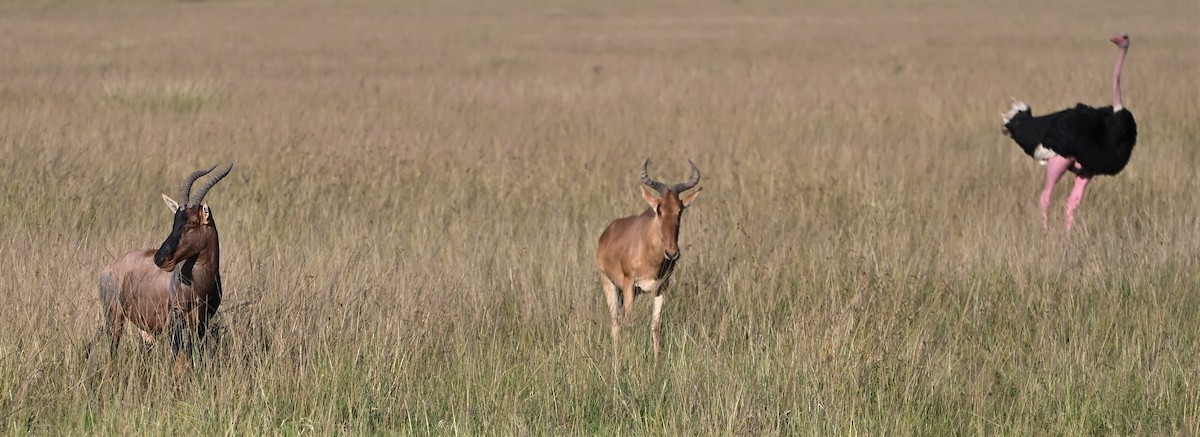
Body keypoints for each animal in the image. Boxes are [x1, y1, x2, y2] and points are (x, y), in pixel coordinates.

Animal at [98, 163, 231, 372]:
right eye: (174, 222)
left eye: (192, 222)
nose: (160, 258)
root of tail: (108, 268)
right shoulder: (175, 320)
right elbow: (180, 359)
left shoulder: (203, 321)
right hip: (114, 316)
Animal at [595, 158, 700, 364]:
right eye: (659, 210)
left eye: (679, 210)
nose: (672, 253)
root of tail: (607, 232)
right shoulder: (629, 283)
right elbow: (629, 322)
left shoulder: (662, 287)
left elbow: (656, 324)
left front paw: (657, 361)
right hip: (610, 284)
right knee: (616, 322)